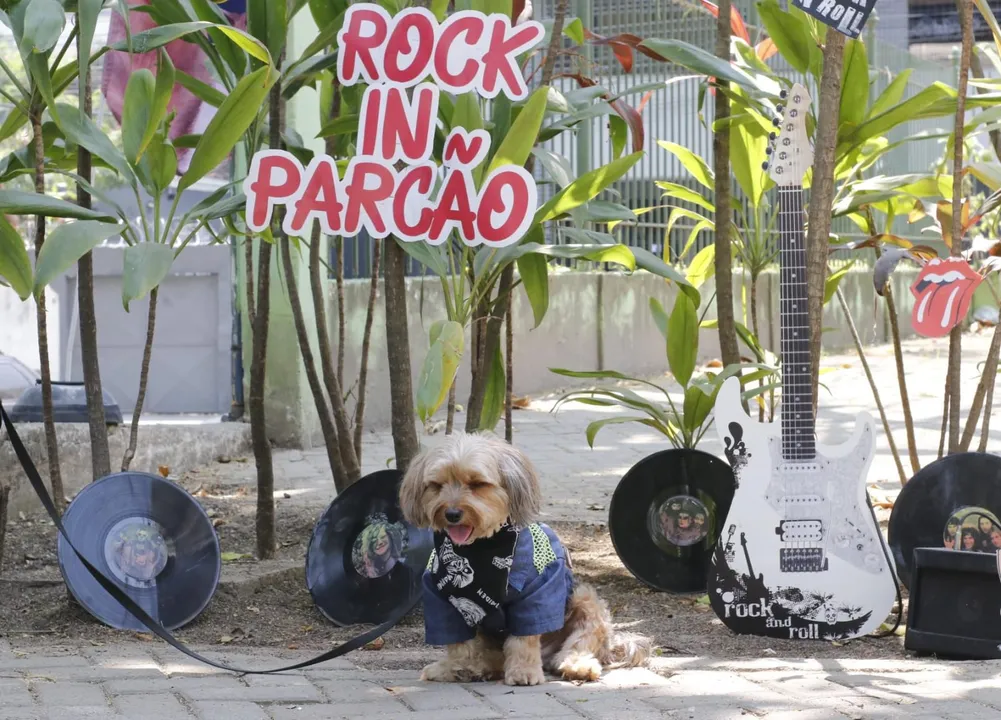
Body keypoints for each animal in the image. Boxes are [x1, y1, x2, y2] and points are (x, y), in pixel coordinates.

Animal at [398, 434, 648, 688]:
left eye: (478, 484)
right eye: (436, 485)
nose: (451, 514)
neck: (480, 550)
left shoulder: (538, 591)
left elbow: (524, 636)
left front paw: (523, 671)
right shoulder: (440, 598)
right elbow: (458, 641)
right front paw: (456, 667)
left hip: (585, 601)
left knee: (579, 642)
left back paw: (577, 666)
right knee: (492, 657)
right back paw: (478, 667)